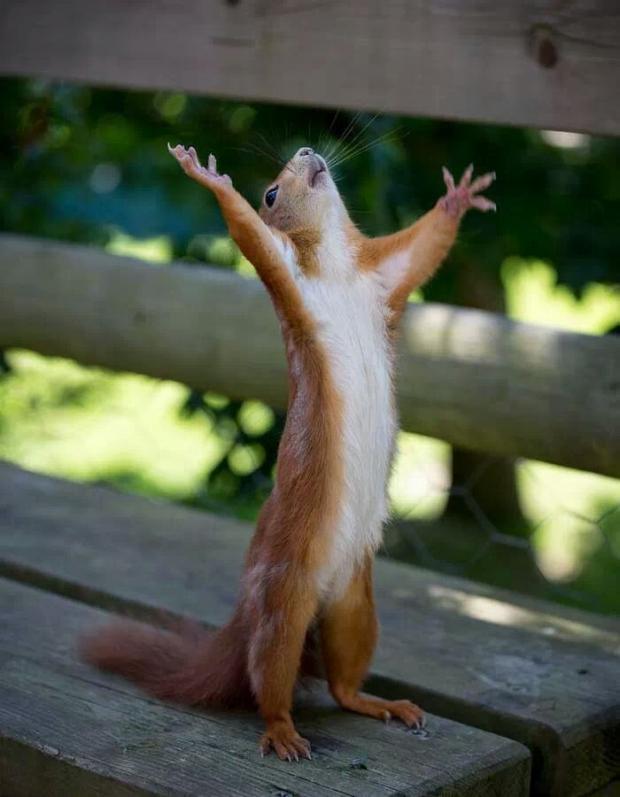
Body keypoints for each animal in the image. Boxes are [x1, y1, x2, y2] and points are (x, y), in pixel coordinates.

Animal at [81, 142, 495, 762]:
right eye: (271, 193)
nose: (306, 151)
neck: (338, 266)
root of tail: (247, 614)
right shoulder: (287, 276)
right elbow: (249, 234)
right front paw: (210, 179)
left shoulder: (383, 276)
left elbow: (421, 249)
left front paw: (458, 198)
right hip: (283, 603)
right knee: (269, 678)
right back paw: (282, 731)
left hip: (355, 605)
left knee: (343, 682)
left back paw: (380, 703)